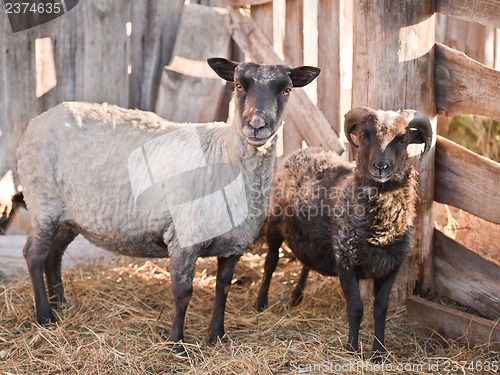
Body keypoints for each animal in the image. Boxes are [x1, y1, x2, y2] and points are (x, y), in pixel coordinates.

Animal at [18, 57, 320, 352]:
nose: (257, 125)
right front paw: (176, 343)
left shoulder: (234, 245)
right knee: (34, 255)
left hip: (69, 216)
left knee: (53, 256)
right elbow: (182, 292)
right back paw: (45, 316)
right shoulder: (183, 239)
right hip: (43, 203)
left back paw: (61, 305)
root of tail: (39, 120)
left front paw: (217, 337)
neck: (223, 153)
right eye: (237, 86)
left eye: (286, 90)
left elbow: (222, 289)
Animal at [256, 106, 432, 362]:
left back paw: (296, 297)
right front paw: (351, 349)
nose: (381, 167)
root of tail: (304, 150)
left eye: (403, 139)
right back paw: (260, 303)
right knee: (270, 263)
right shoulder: (346, 262)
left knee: (306, 261)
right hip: (274, 224)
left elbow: (381, 309)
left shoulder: (391, 267)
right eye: (365, 136)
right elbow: (356, 309)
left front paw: (379, 353)